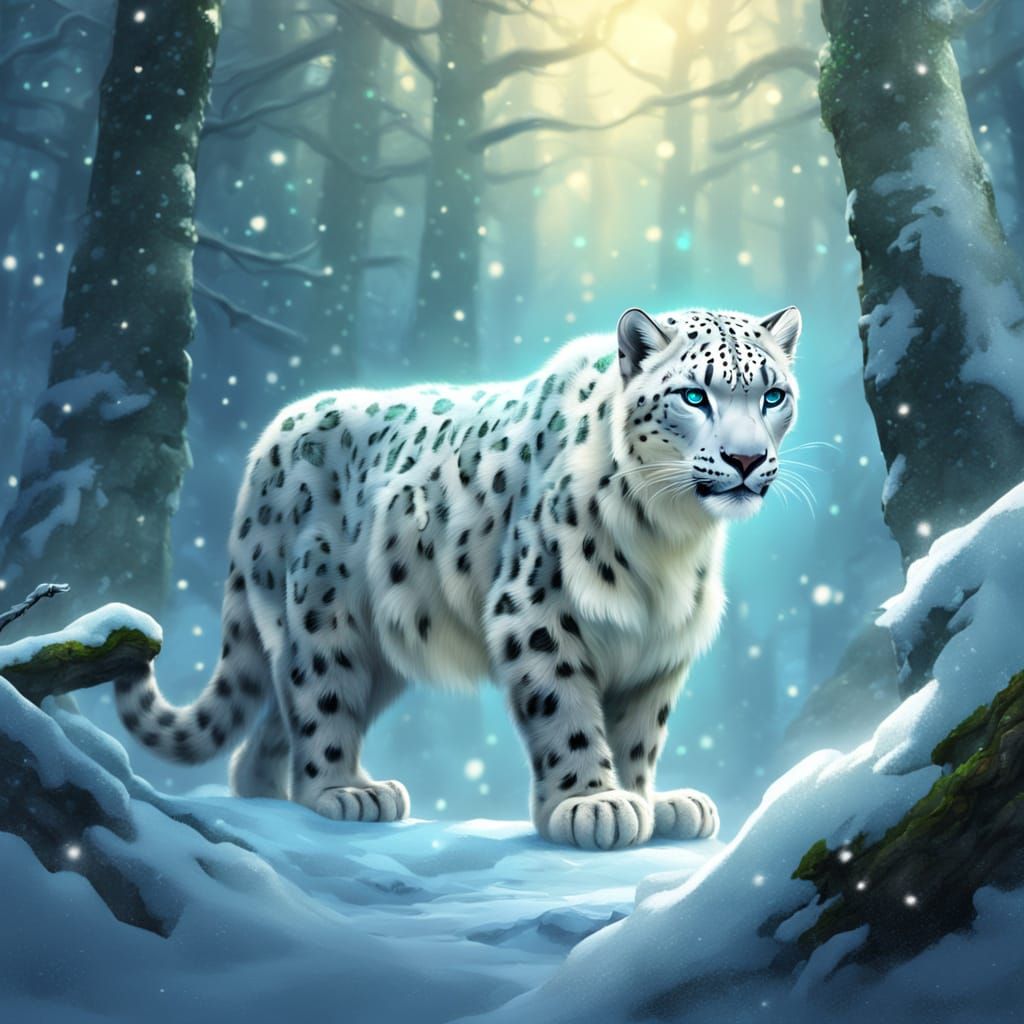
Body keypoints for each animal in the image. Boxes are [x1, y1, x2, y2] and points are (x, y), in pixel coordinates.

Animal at [113, 304, 801, 850]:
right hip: (320, 613)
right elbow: (568, 711)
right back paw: (344, 792)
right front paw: (591, 804)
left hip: (378, 657)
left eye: (773, 396)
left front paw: (649, 803)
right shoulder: (535, 611)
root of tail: (272, 438)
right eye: (694, 395)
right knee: (317, 701)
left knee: (267, 736)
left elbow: (639, 733)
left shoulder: (658, 646)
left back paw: (268, 794)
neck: (670, 539)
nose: (746, 459)